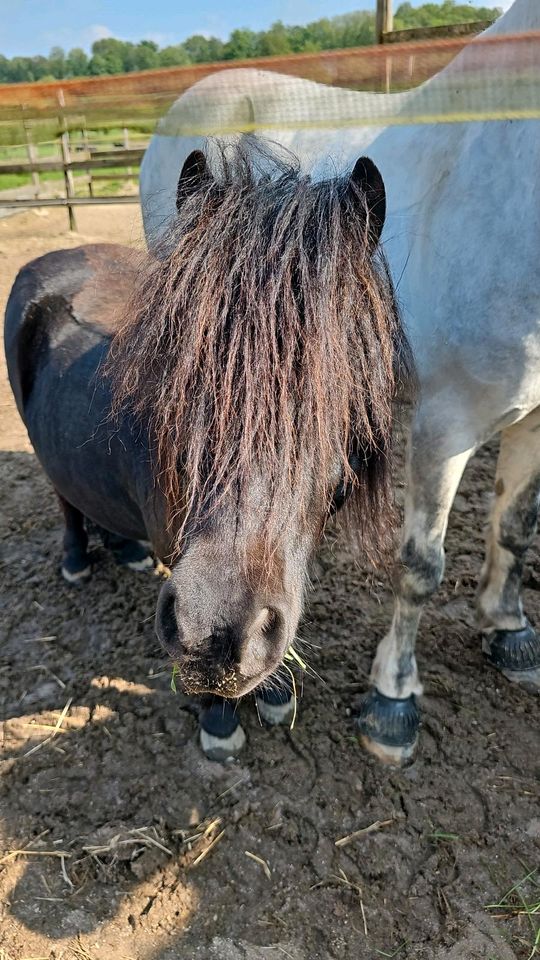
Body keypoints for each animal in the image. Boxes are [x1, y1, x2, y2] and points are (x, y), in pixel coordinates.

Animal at [4, 144, 414, 756]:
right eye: (176, 375)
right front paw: (218, 720)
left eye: (333, 385)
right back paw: (77, 560)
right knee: (65, 501)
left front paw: (274, 694)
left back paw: (124, 549)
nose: (216, 636)